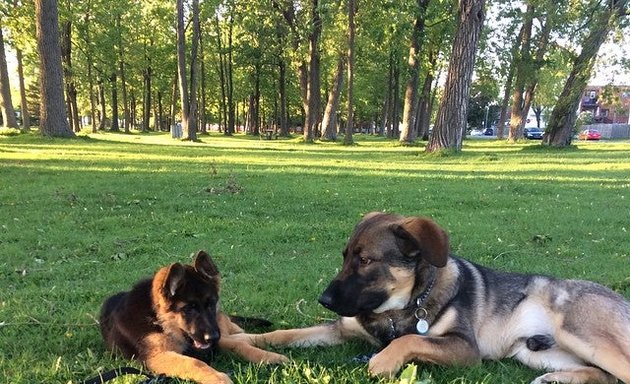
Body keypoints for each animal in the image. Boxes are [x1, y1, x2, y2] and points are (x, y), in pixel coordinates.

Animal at [99, 250, 288, 384]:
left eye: (211, 304)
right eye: (189, 309)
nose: (213, 337)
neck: (159, 321)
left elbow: (239, 345)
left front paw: (269, 357)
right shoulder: (157, 357)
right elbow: (193, 363)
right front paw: (218, 378)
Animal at [239, 213, 630, 384]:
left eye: (365, 260)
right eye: (345, 256)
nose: (324, 300)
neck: (397, 309)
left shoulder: (465, 349)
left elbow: (412, 339)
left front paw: (382, 361)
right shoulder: (341, 329)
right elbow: (286, 334)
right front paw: (249, 339)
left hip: (583, 334)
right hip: (536, 352)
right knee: (605, 376)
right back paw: (556, 380)